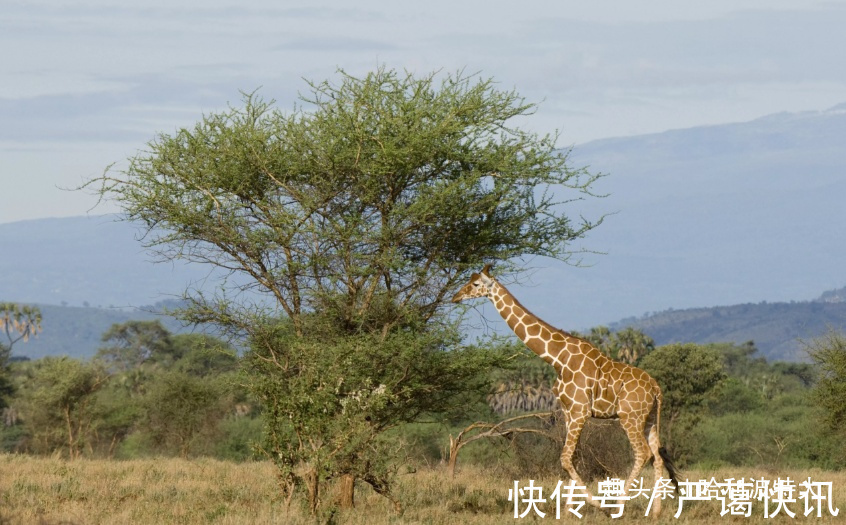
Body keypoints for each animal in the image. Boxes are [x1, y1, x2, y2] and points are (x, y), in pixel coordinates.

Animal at [454, 266, 680, 516]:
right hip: (648, 418)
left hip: (629, 416)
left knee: (643, 453)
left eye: (475, 284)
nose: (456, 297)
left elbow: (564, 458)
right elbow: (571, 456)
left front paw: (595, 504)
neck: (557, 358)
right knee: (657, 457)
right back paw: (656, 511)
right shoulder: (570, 411)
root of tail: (656, 388)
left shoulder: (581, 410)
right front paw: (568, 511)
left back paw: (617, 508)